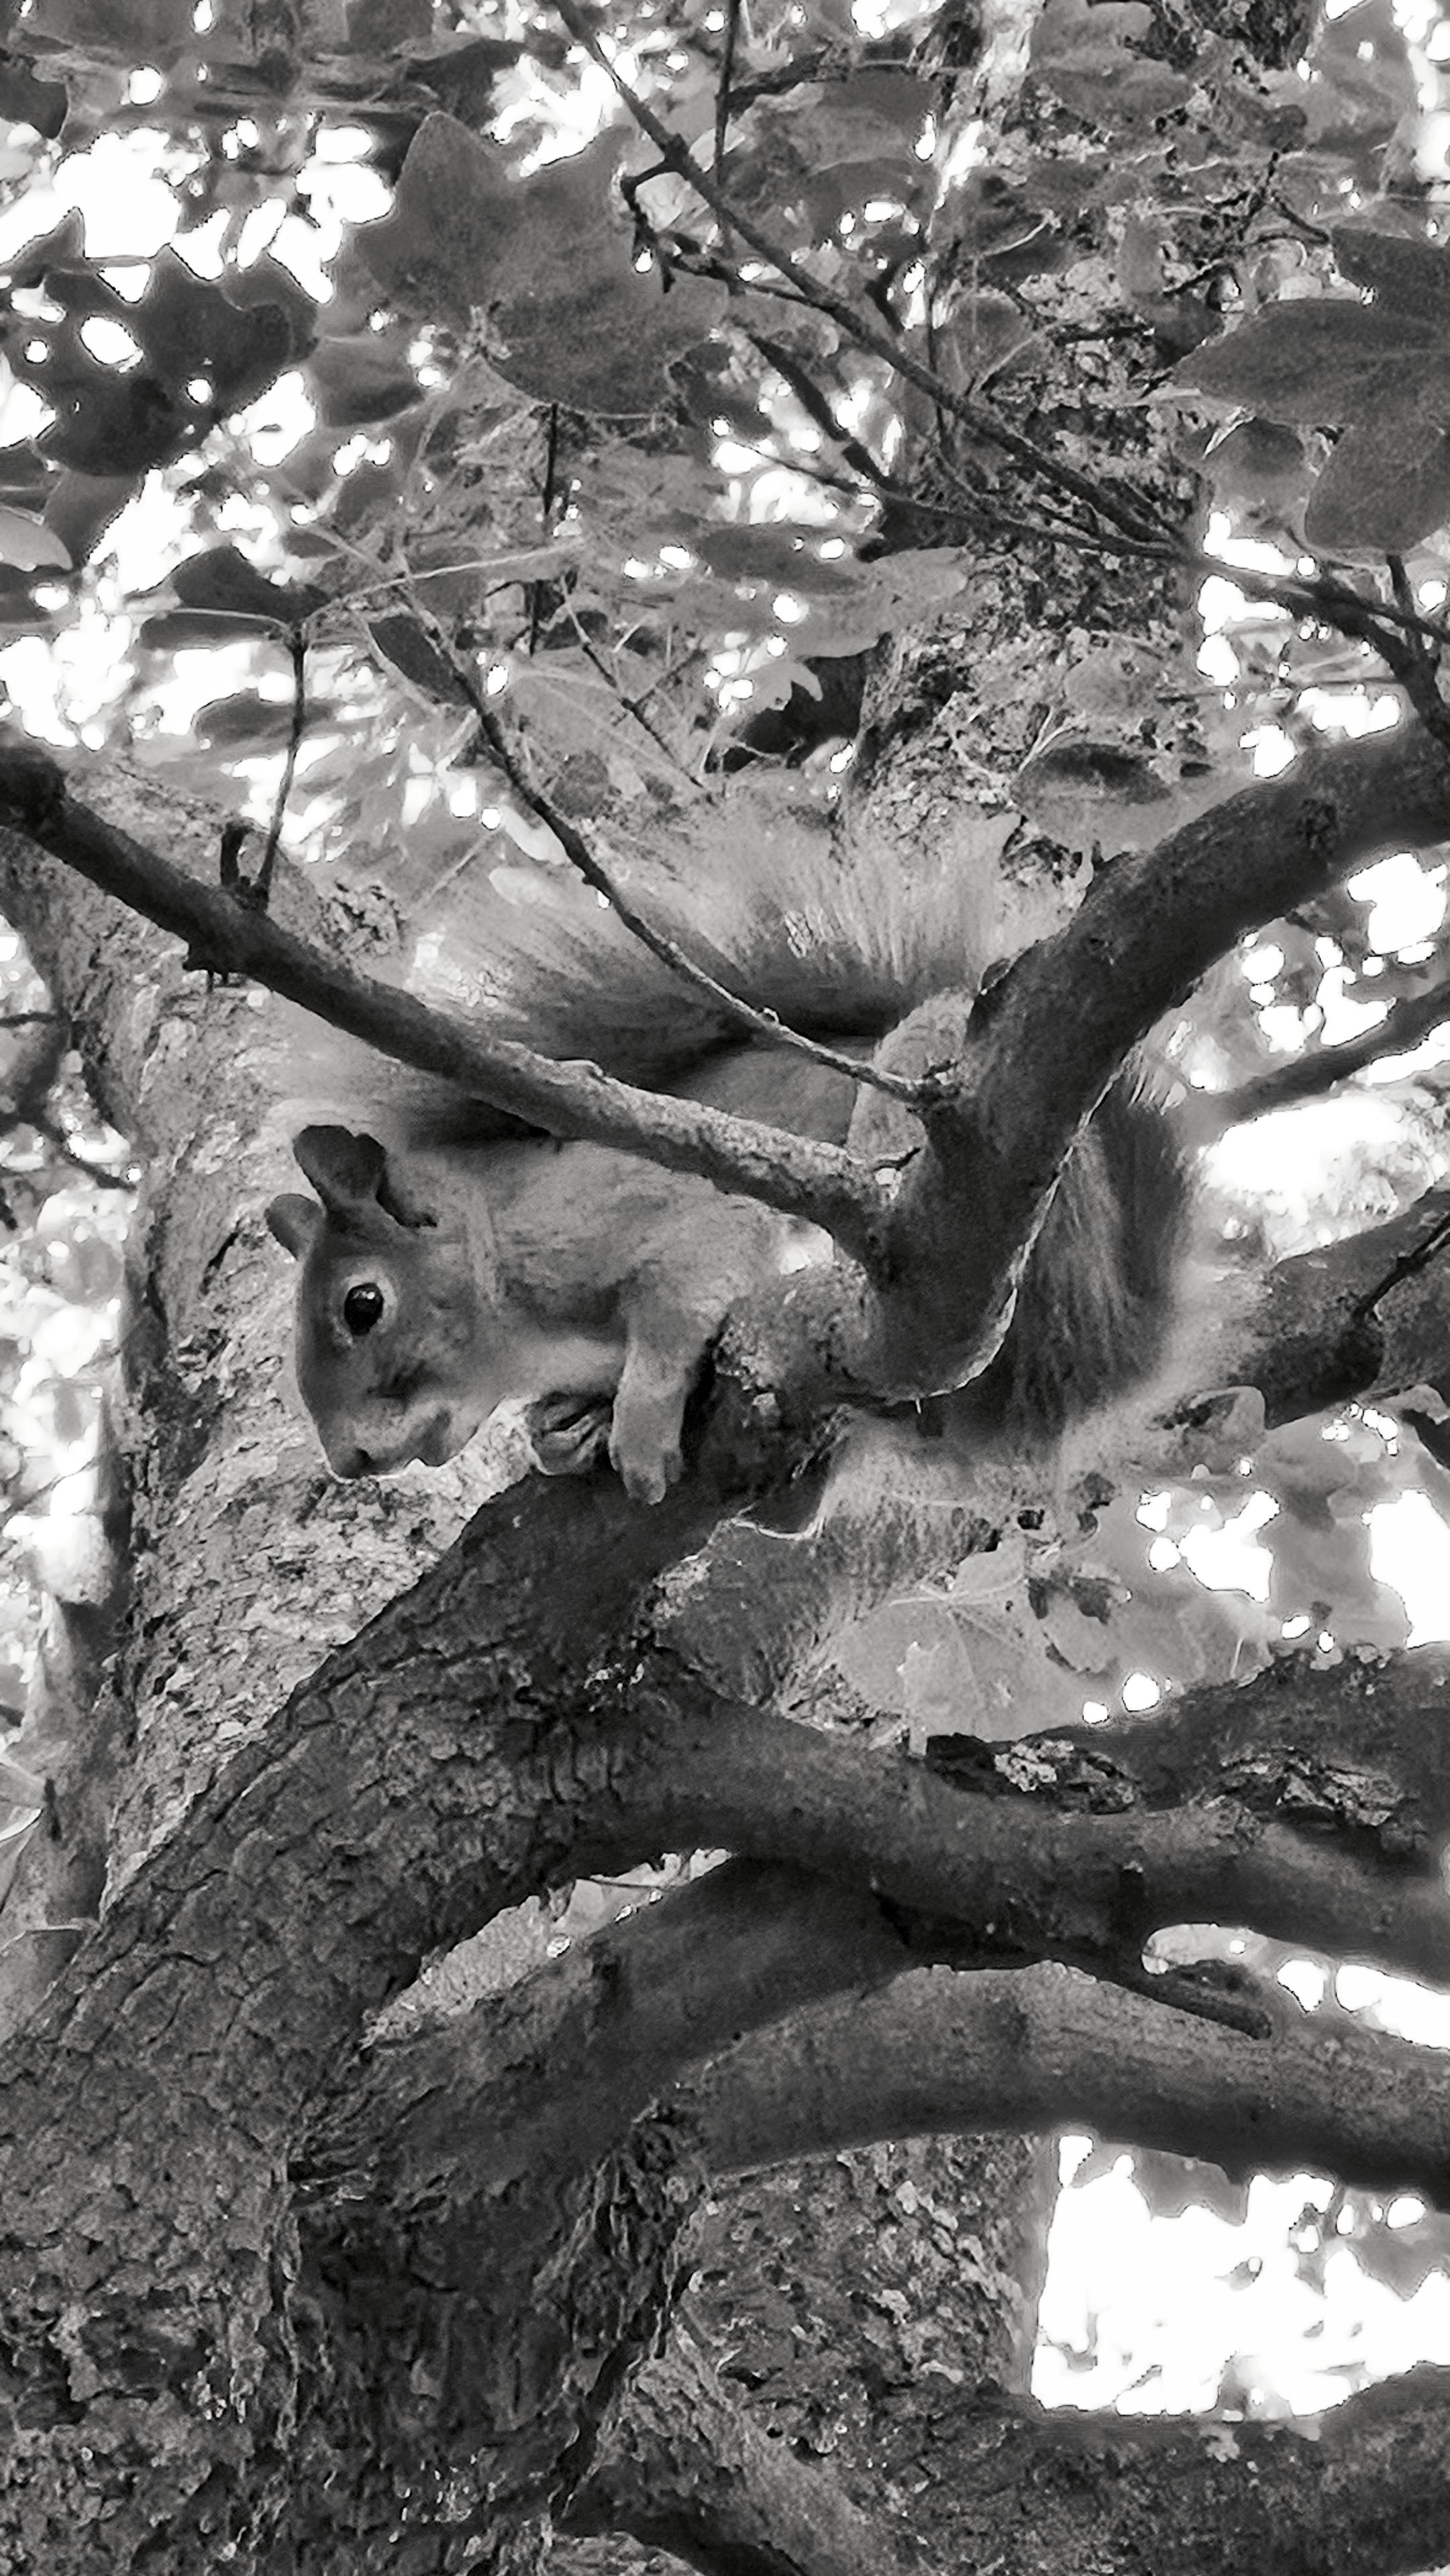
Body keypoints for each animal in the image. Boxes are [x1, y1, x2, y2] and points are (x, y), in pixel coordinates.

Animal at [266, 820, 1190, 1502]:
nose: (348, 1461)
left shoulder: (649, 1216)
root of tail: (1111, 1334)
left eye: (362, 1305)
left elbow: (683, 1294)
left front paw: (637, 1429)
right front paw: (560, 1428)